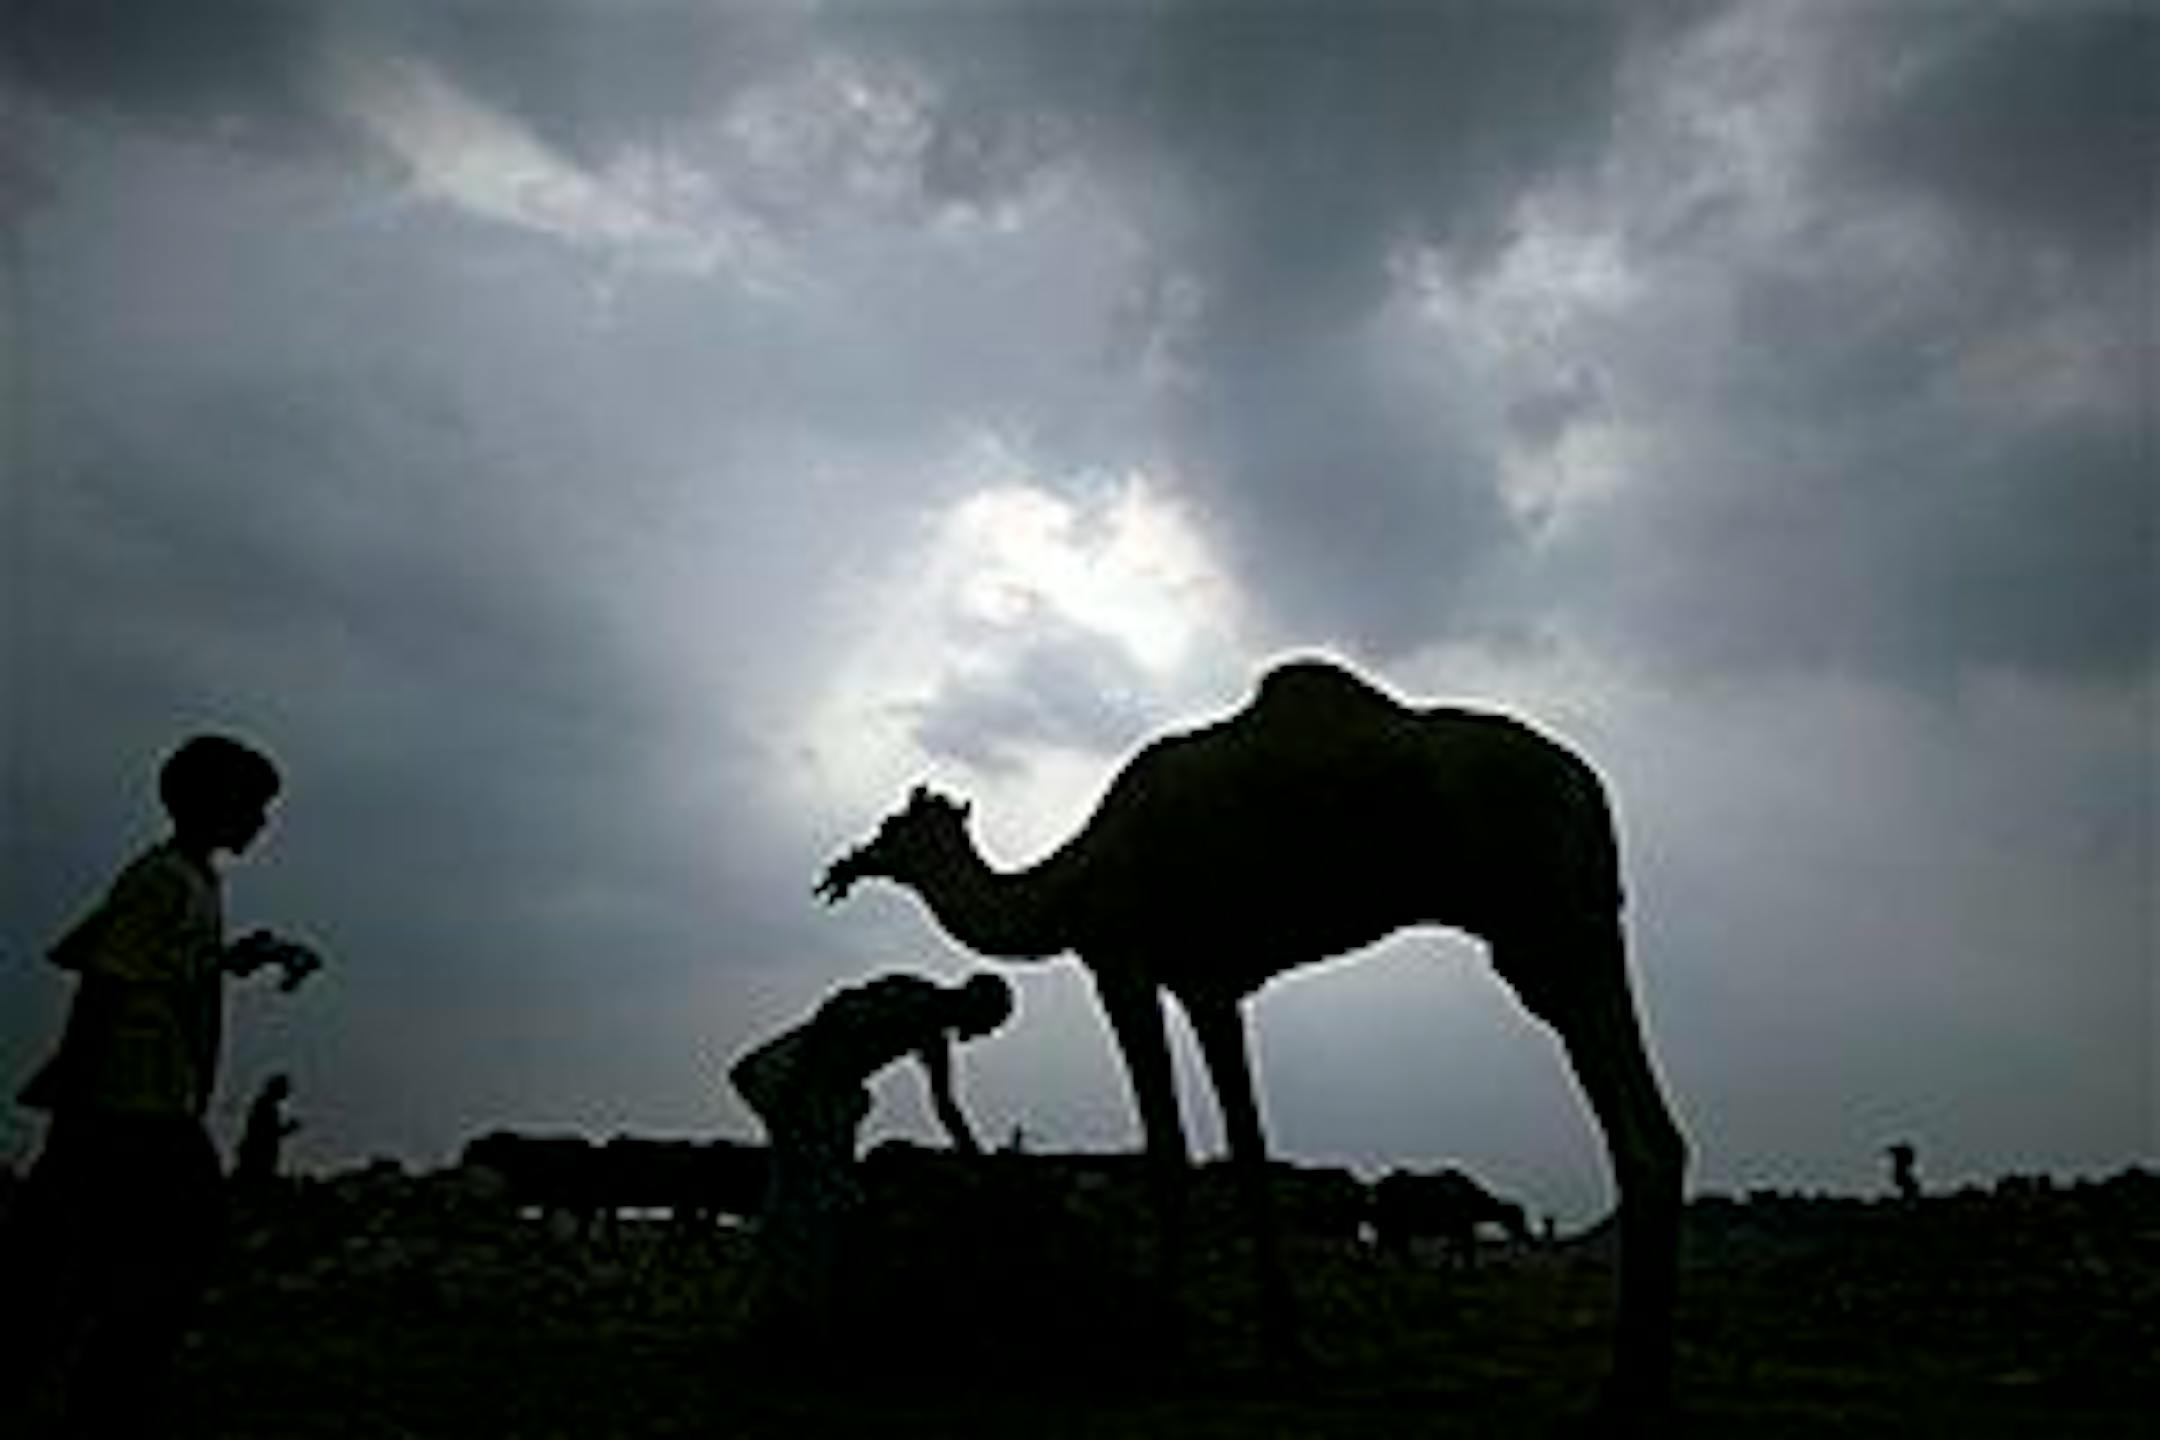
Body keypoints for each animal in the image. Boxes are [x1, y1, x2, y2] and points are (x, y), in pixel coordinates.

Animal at [815, 656, 1687, 1415]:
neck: (1069, 881)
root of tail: (1589, 787)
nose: (846, 863)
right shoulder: (1211, 983)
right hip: (1584, 921)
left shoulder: (1121, 957)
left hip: (1536, 925)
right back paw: (1636, 1381)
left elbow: (1168, 1147)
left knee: (1633, 1134)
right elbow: (1248, 1146)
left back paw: (1625, 1392)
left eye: (893, 826)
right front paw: (1287, 1347)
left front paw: (1162, 1345)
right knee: (1659, 1129)